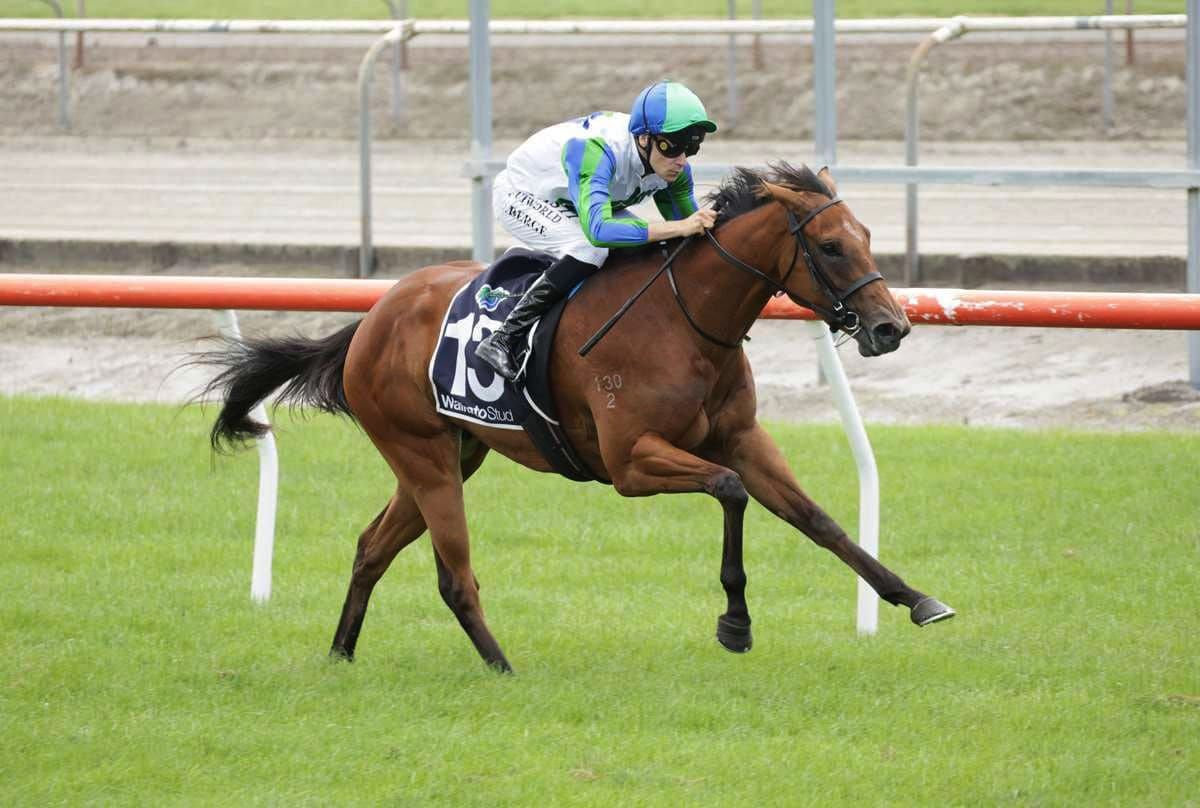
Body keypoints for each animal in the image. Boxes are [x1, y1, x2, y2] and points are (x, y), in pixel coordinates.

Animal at [199, 162, 954, 673]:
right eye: (829, 246)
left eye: (866, 235)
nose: (891, 327)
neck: (685, 320)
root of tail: (373, 317)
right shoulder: (629, 462)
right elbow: (730, 490)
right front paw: (735, 623)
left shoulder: (741, 438)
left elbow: (819, 521)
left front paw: (915, 598)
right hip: (422, 454)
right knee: (453, 574)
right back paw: (503, 667)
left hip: (451, 453)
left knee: (371, 547)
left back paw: (341, 653)